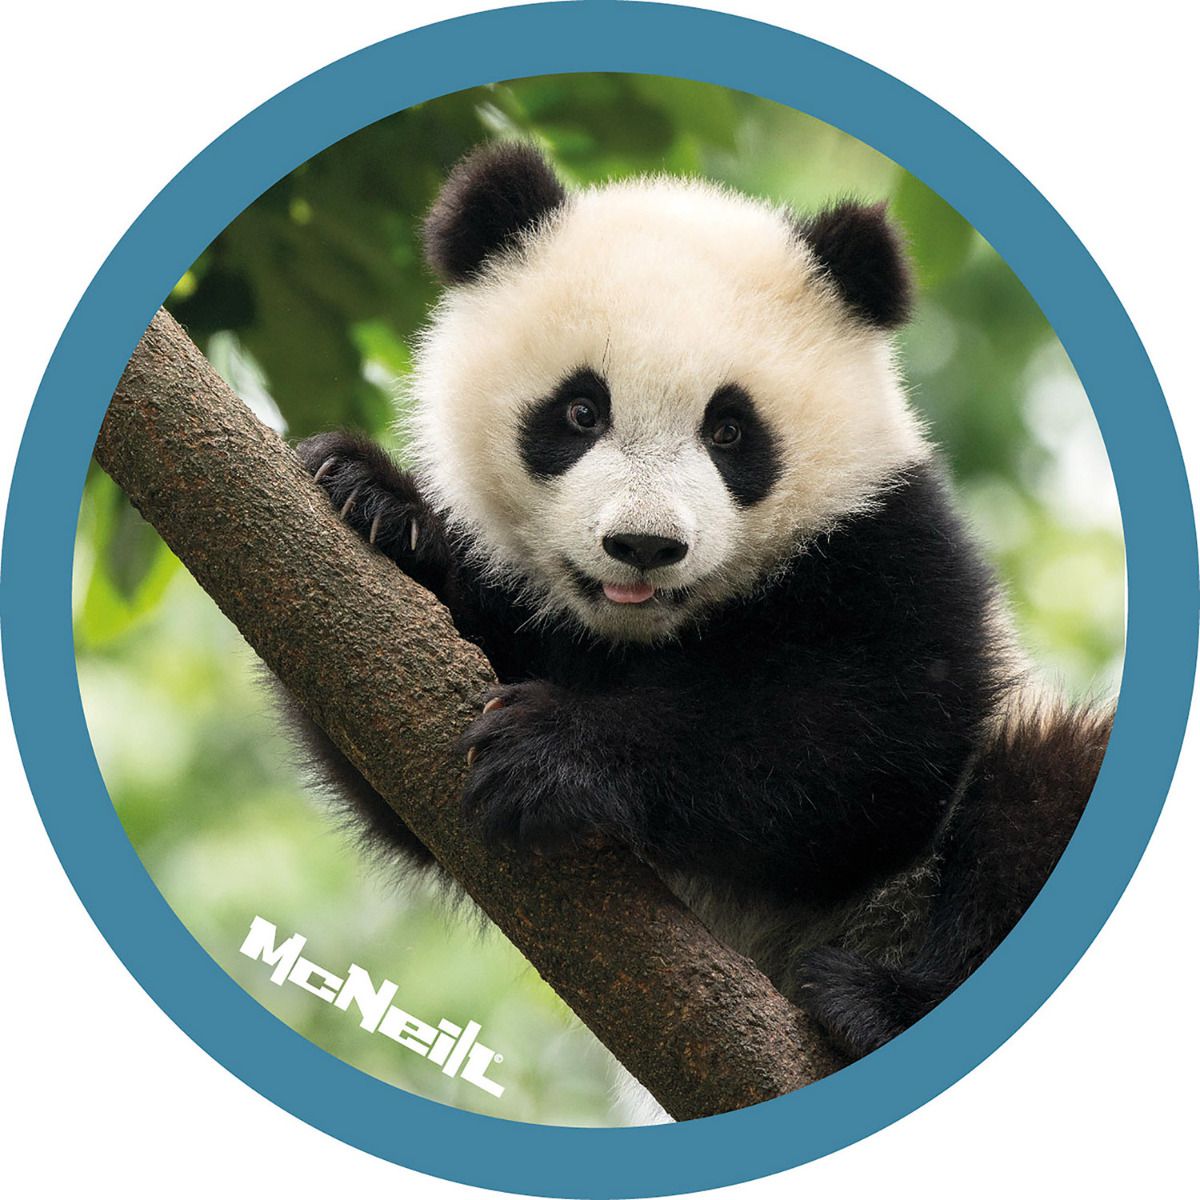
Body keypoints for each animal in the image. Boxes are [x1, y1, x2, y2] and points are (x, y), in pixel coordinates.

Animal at [289, 142, 1113, 1066]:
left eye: (729, 431)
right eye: (580, 410)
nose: (644, 545)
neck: (647, 633)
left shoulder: (891, 544)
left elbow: (869, 745)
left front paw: (553, 752)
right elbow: (395, 759)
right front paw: (376, 502)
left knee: (1040, 789)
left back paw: (873, 1003)